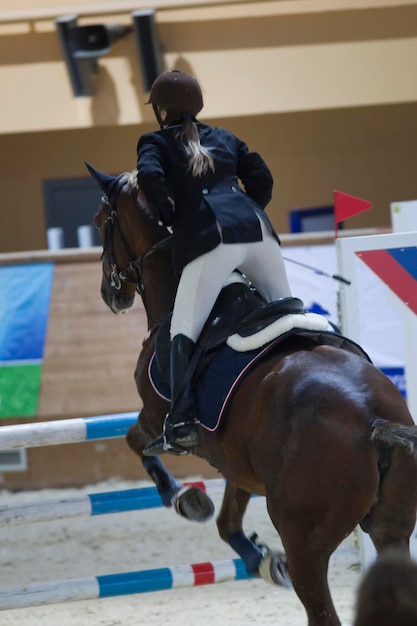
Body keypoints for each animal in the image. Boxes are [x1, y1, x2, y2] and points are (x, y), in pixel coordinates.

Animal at [88, 165, 417, 624]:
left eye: (101, 221)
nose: (109, 293)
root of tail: (377, 424)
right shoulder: (235, 459)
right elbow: (227, 520)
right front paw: (258, 558)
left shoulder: (155, 419)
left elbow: (136, 442)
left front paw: (183, 497)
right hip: (392, 531)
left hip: (305, 542)